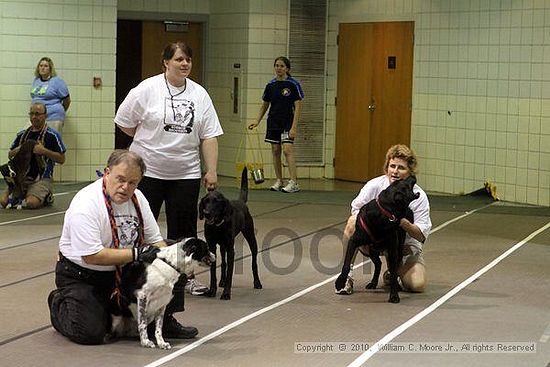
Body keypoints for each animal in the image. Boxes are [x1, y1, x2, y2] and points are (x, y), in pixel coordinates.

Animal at [199, 168, 264, 300]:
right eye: (205, 201)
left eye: (216, 201)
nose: (206, 213)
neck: (218, 226)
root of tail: (241, 201)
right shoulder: (212, 247)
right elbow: (213, 272)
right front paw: (212, 291)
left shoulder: (230, 249)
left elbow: (230, 273)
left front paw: (226, 293)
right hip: (222, 246)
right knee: (223, 263)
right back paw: (222, 281)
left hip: (251, 238)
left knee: (254, 263)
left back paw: (257, 283)